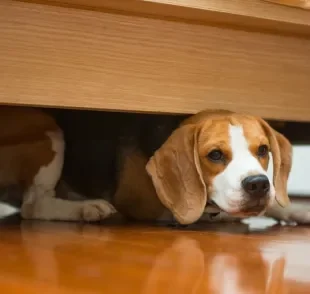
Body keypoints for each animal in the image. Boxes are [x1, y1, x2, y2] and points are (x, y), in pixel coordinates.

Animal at [0, 106, 308, 225]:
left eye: (263, 150)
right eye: (215, 155)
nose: (258, 185)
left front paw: (294, 209)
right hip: (48, 129)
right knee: (33, 206)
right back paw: (85, 208)